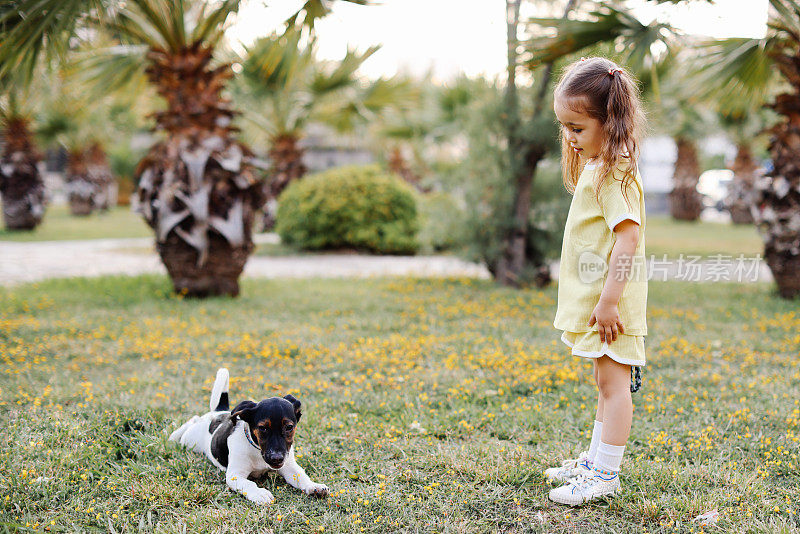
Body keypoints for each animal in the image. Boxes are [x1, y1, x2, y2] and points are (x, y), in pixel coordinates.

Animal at [169, 370, 328, 504]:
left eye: (289, 427)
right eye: (263, 428)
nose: (276, 458)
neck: (257, 451)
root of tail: (218, 412)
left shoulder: (289, 466)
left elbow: (301, 476)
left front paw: (313, 486)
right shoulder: (235, 475)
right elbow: (248, 483)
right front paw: (259, 494)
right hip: (190, 440)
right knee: (193, 420)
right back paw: (172, 436)